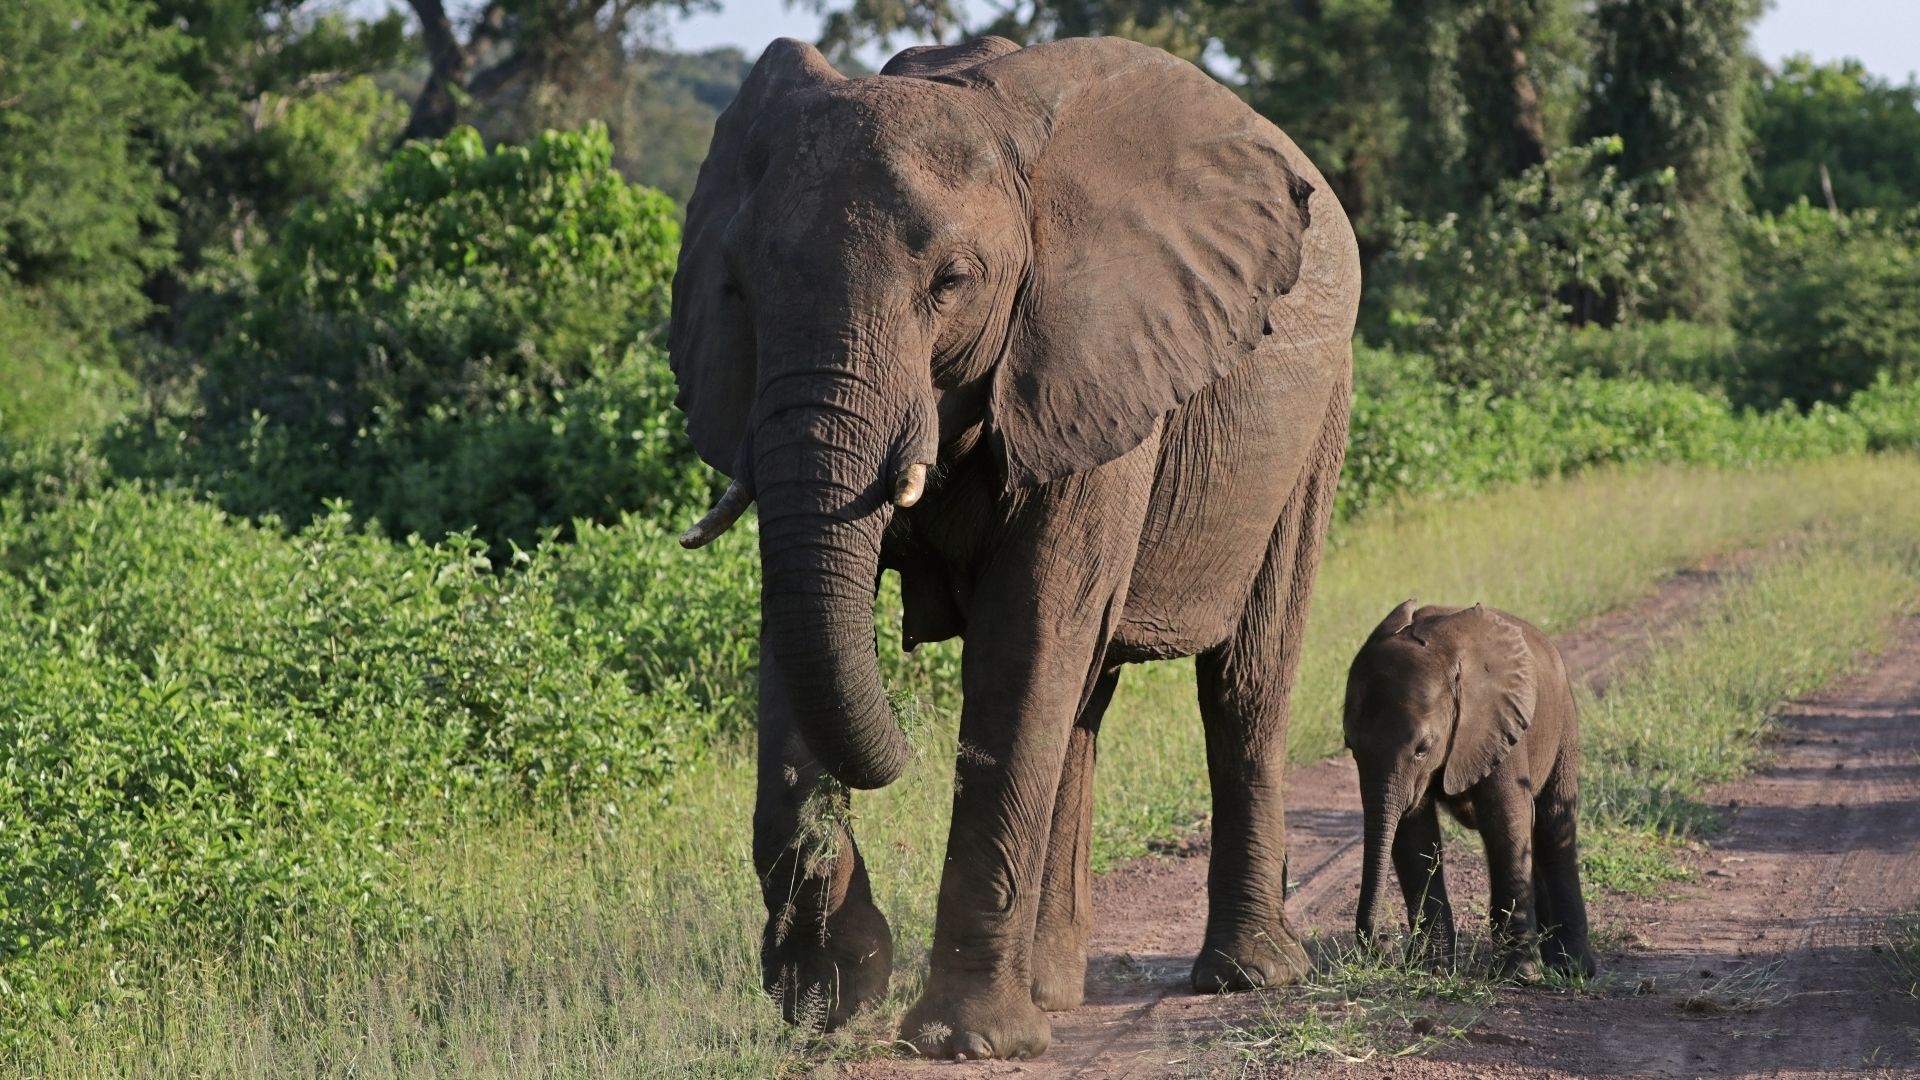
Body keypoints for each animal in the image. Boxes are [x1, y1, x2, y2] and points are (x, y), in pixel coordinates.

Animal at [669, 34, 1360, 1059]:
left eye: (950, 284)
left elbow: (1024, 636)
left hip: (1319, 413)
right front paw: (832, 992)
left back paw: (1245, 976)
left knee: (1242, 681)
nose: (904, 750)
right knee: (1084, 699)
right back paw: (1053, 992)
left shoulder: (1091, 359)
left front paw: (962, 1041)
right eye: (740, 289)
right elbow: (796, 627)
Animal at [1343, 600, 1596, 979]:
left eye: (1422, 748)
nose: (1384, 944)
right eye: (1351, 746)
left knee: (1553, 827)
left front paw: (1520, 975)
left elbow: (1507, 821)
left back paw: (1574, 968)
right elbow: (1414, 835)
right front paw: (1430, 970)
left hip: (1564, 723)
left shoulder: (1497, 723)